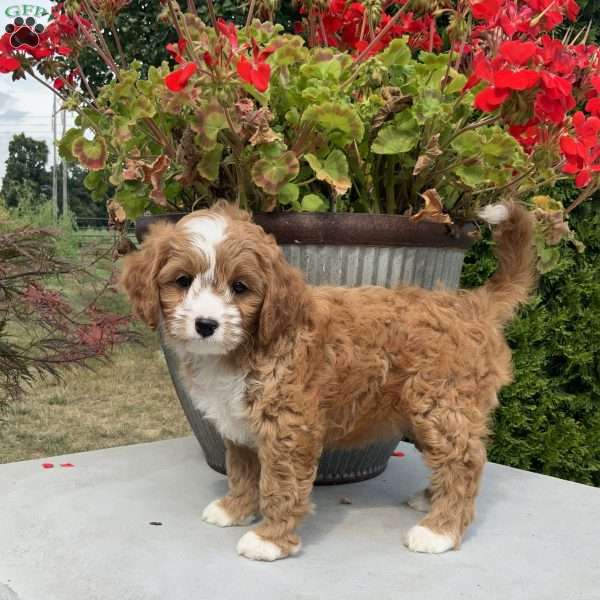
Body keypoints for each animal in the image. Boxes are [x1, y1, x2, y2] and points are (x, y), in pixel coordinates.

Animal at [120, 202, 536, 564]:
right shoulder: (239, 427)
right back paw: (430, 500)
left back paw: (440, 530)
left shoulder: (288, 428)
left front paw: (269, 539)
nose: (206, 325)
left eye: (240, 287)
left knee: (464, 462)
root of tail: (470, 305)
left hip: (442, 405)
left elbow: (280, 485)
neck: (248, 345)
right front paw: (235, 509)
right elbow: (241, 473)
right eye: (182, 281)